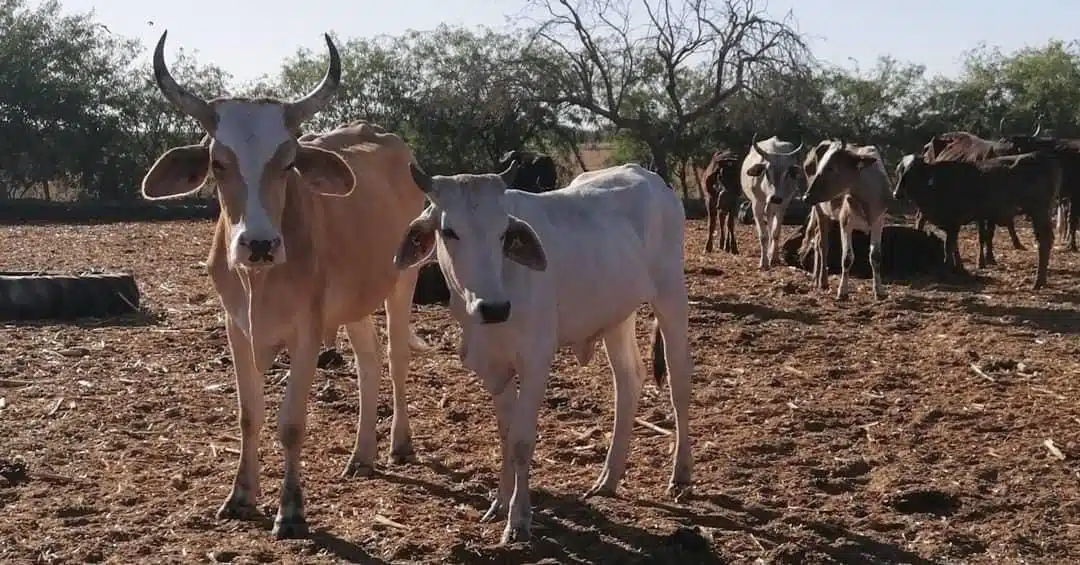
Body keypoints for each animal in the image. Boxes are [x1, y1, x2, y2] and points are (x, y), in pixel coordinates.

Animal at [139, 29, 429, 540]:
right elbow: (249, 414)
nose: (258, 243)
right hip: (354, 302)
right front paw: (240, 496)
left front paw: (291, 509)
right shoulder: (237, 328)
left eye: (289, 161)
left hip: (402, 281)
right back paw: (362, 455)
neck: (259, 280)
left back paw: (399, 444)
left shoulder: (307, 332)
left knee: (396, 359)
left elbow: (291, 422)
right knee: (369, 361)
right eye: (217, 162)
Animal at [393, 160, 695, 546]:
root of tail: (646, 174)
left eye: (503, 232)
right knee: (628, 381)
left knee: (679, 381)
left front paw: (518, 519)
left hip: (671, 295)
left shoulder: (535, 360)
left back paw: (681, 473)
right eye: (449, 231)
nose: (493, 307)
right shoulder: (493, 367)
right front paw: (499, 504)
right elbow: (506, 436)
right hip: (617, 315)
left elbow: (522, 441)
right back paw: (609, 478)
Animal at [743, 136, 812, 271]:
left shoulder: (783, 204)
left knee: (771, 226)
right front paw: (764, 262)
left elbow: (775, 232)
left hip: (774, 207)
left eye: (787, 174)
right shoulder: (757, 205)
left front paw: (773, 258)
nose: (775, 197)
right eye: (767, 172)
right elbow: (763, 235)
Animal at [803, 139, 894, 300]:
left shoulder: (879, 221)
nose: (805, 197)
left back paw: (816, 279)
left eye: (831, 168)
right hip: (820, 210)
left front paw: (879, 290)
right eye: (820, 166)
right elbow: (847, 258)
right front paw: (843, 291)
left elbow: (875, 256)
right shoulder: (845, 222)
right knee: (822, 244)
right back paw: (822, 281)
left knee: (817, 238)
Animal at [889, 152, 1058, 289]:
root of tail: (1039, 157)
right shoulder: (953, 224)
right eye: (899, 171)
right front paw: (960, 269)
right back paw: (1041, 280)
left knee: (1044, 241)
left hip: (1038, 211)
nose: (896, 193)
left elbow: (949, 247)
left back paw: (1038, 282)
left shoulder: (953, 221)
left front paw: (948, 270)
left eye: (911, 172)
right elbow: (954, 246)